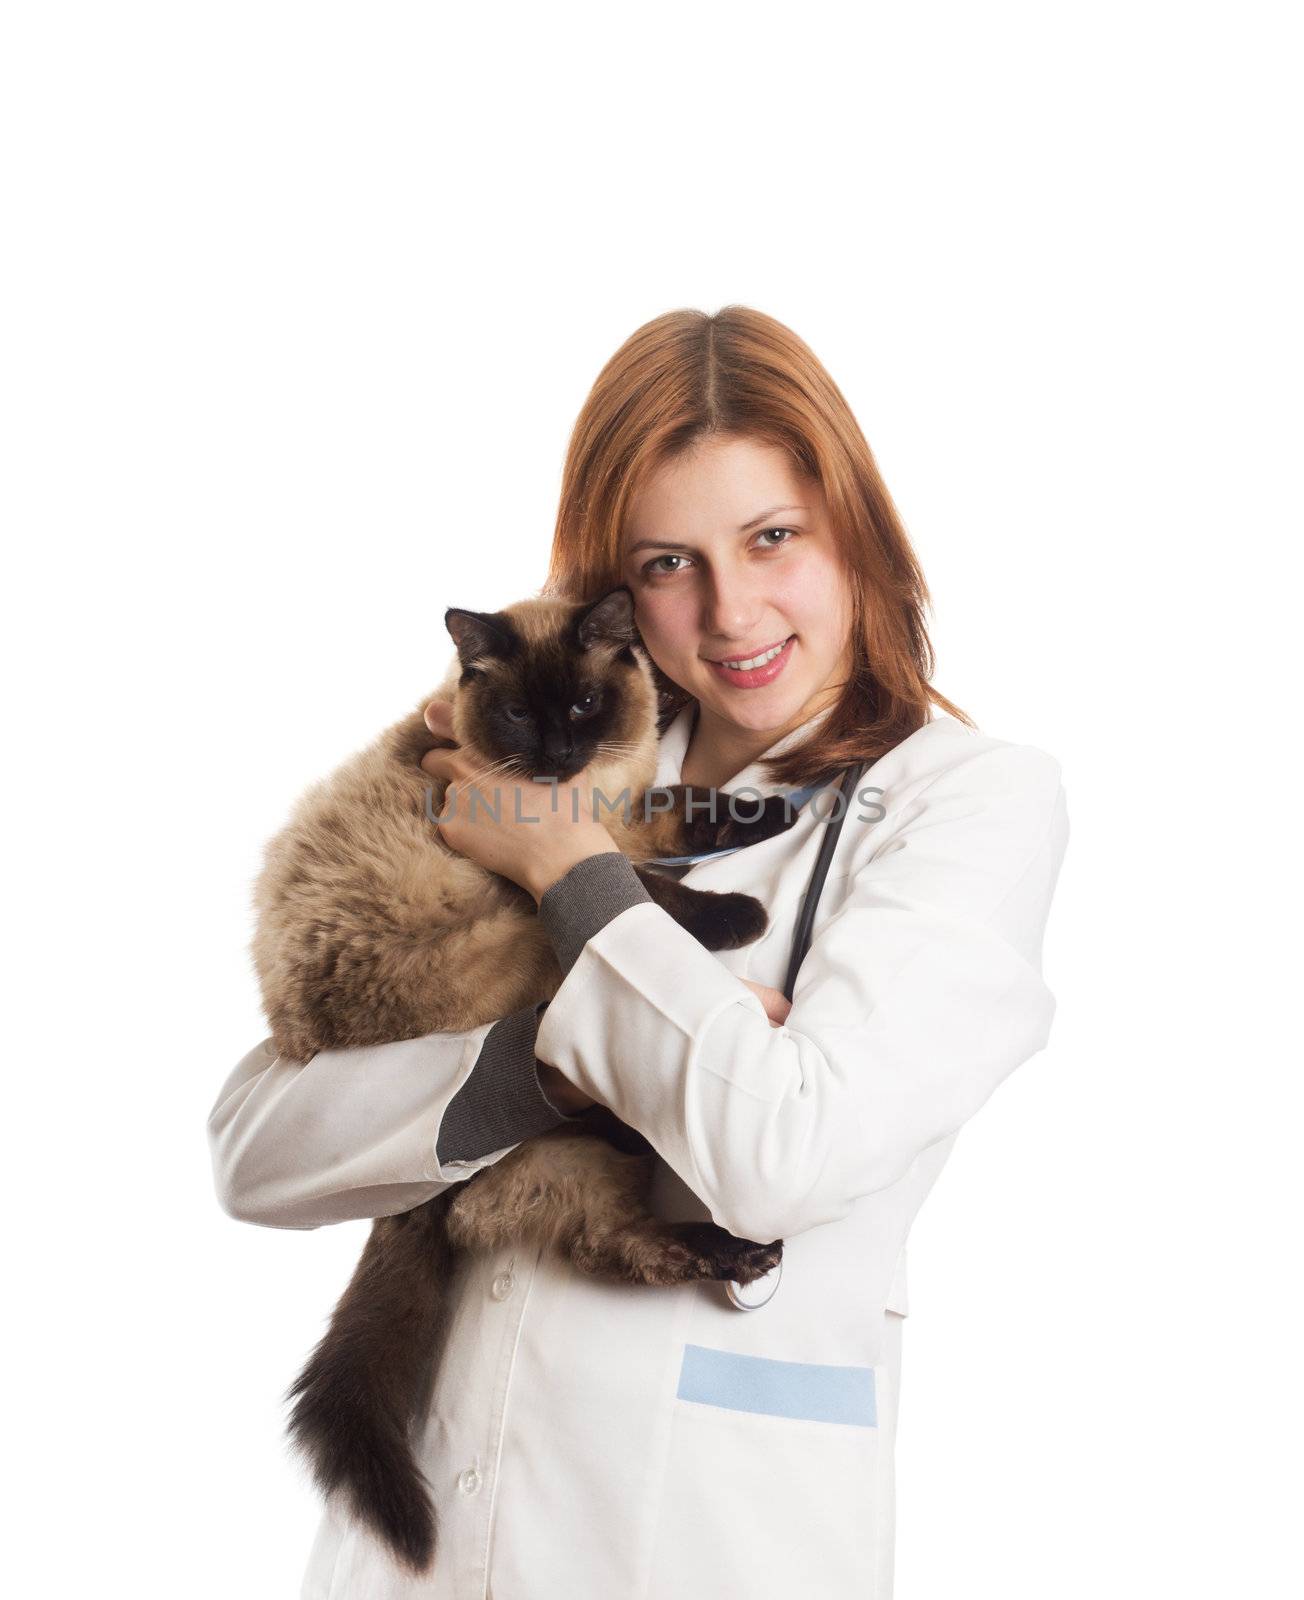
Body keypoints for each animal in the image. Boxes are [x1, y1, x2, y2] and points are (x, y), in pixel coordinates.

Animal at [249, 592, 790, 1574]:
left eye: (581, 705)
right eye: (516, 714)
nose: (554, 754)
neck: (588, 789)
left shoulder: (623, 811)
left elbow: (688, 806)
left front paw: (777, 810)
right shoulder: (567, 868)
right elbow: (646, 894)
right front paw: (742, 914)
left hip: (572, 1158)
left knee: (628, 1244)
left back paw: (733, 1247)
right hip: (517, 943)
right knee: (621, 1231)